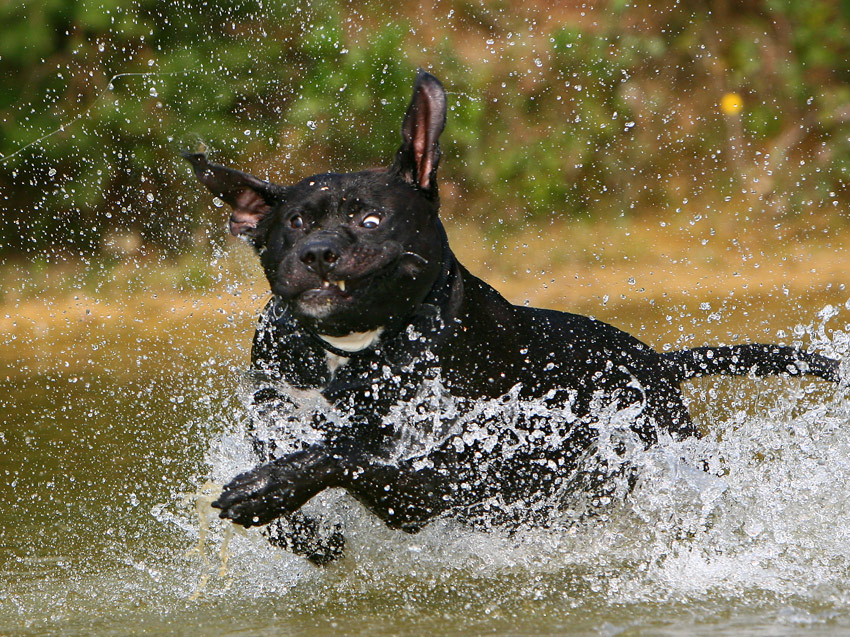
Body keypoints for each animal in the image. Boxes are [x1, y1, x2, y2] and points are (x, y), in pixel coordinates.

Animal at [182, 72, 840, 564]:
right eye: (293, 224)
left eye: (371, 218)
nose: (317, 252)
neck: (353, 348)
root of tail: (654, 360)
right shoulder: (274, 407)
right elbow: (301, 449)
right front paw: (298, 528)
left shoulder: (444, 481)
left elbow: (347, 454)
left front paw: (271, 488)